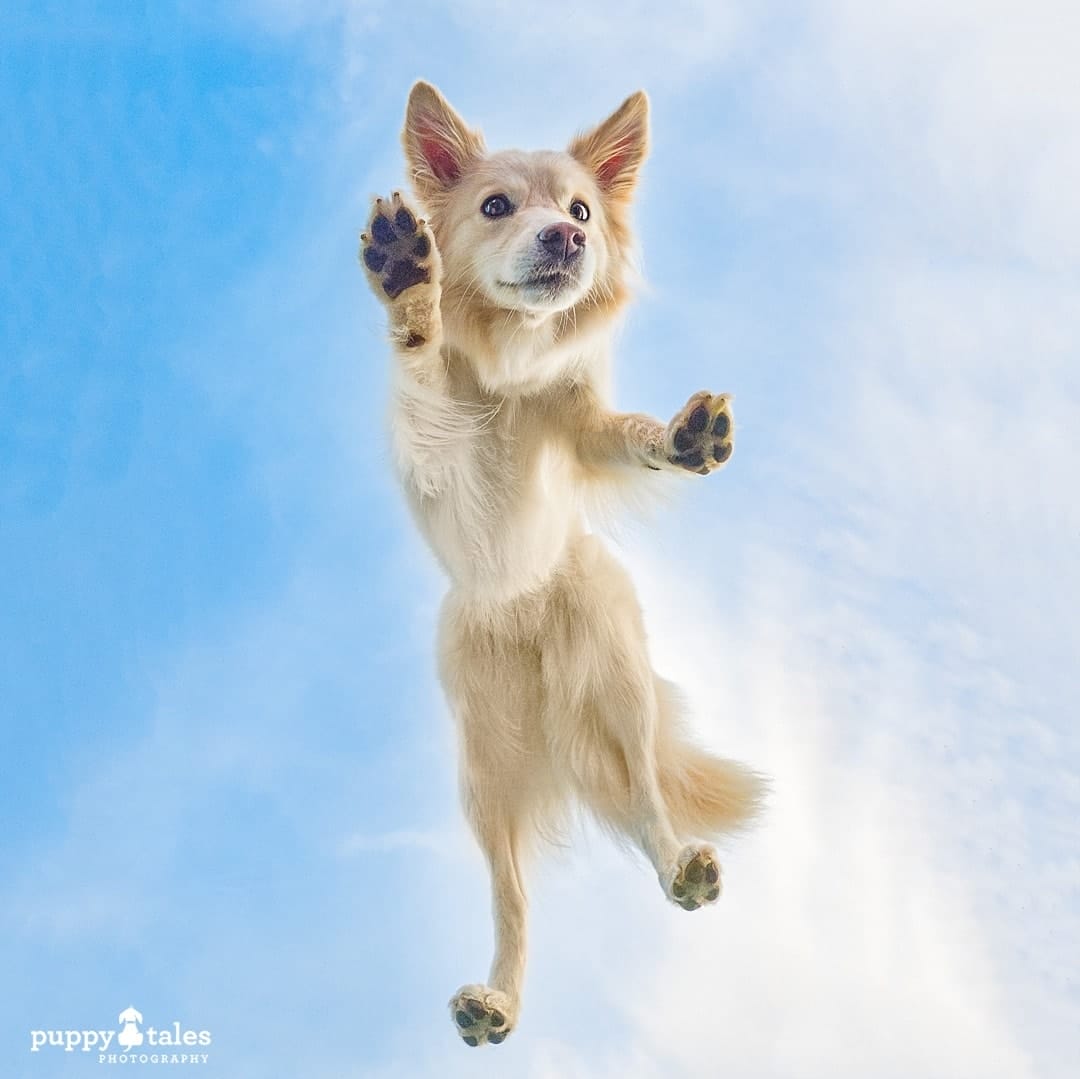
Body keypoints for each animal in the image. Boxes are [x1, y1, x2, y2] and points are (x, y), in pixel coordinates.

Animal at [358, 82, 764, 1045]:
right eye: (496, 207)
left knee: (649, 798)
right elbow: (429, 382)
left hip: (617, 687)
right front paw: (409, 283)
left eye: (580, 211)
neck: (511, 354)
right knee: (513, 900)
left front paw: (682, 437)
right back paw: (496, 1000)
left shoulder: (579, 424)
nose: (567, 239)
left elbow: (622, 434)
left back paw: (679, 864)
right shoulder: (441, 453)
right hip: (483, 772)